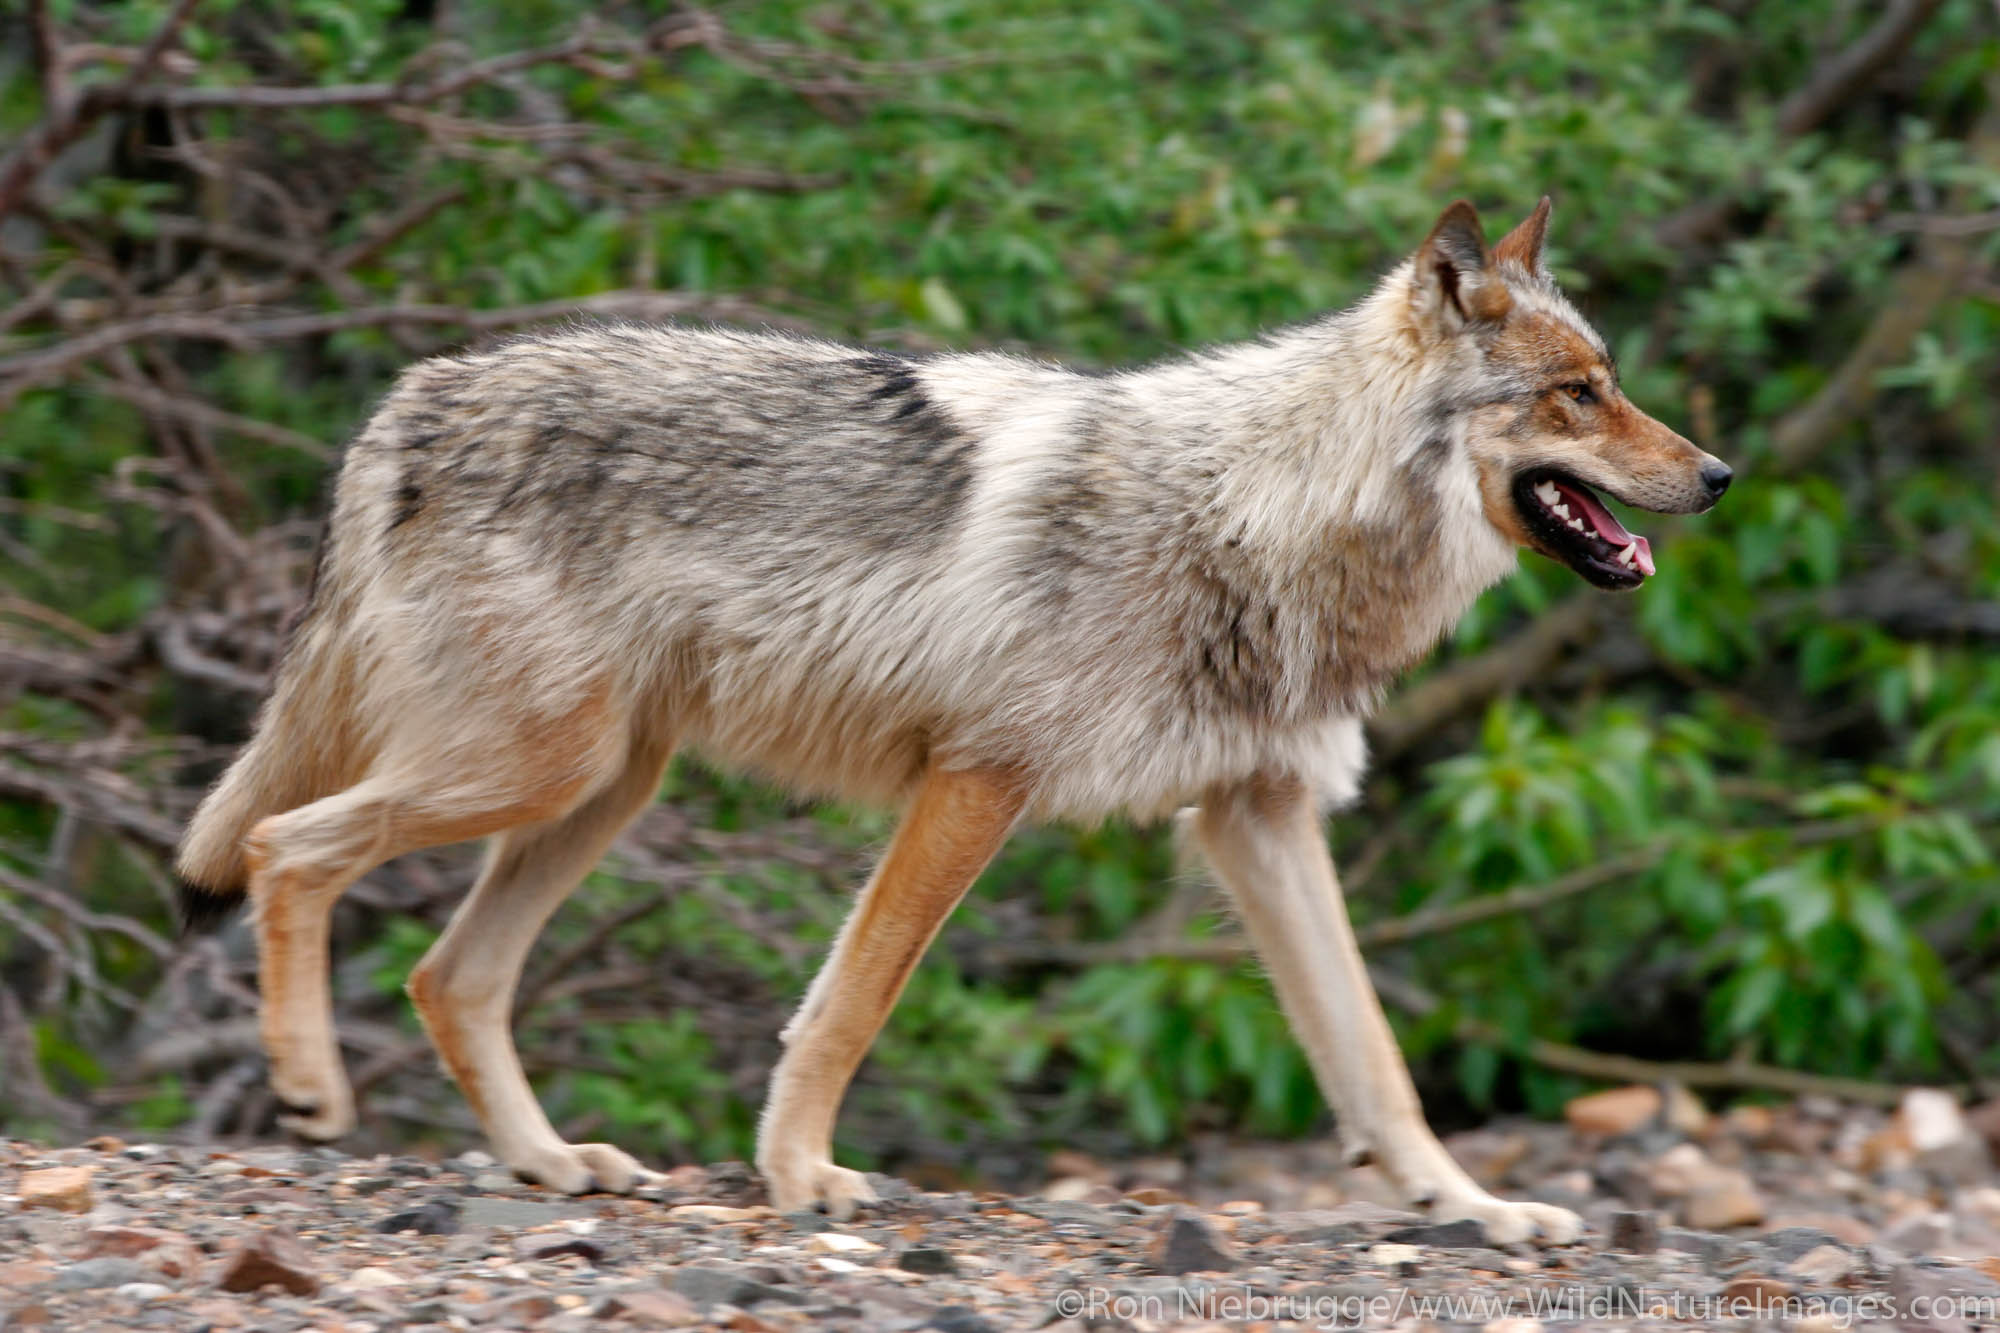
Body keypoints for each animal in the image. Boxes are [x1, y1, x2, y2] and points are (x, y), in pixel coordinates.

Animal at [180, 195, 1728, 1232]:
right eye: (1579, 395)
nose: (1717, 475)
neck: (1260, 514)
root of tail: (410, 399)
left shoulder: (1262, 815)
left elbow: (1372, 1059)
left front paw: (1471, 1207)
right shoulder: (978, 781)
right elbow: (851, 1004)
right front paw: (799, 1174)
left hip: (594, 794)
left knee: (450, 976)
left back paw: (551, 1162)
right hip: (526, 775)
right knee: (283, 850)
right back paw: (311, 1088)